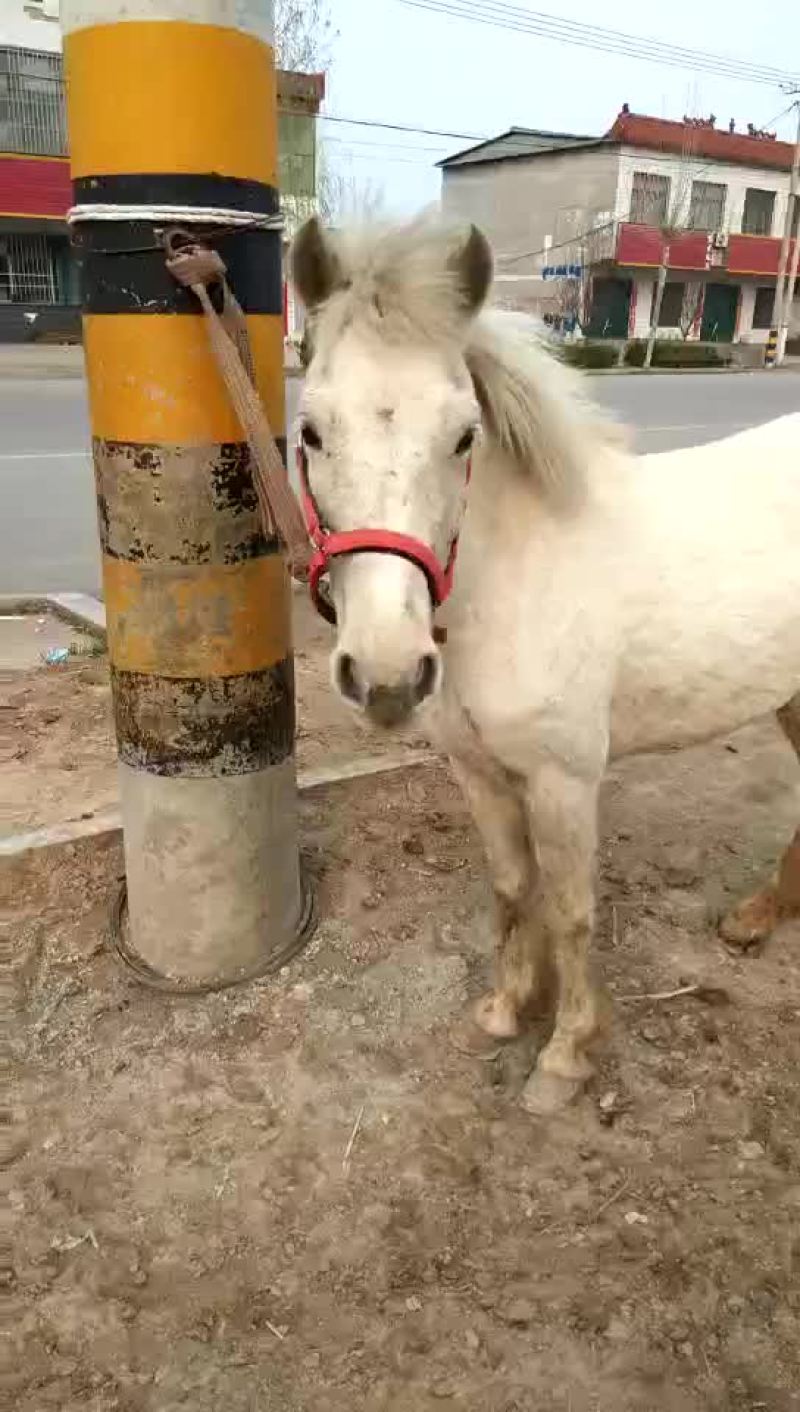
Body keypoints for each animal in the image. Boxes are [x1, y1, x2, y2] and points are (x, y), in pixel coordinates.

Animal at [290, 214, 800, 1115]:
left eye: (463, 436)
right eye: (313, 432)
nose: (388, 675)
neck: (514, 578)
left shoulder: (565, 783)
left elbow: (569, 911)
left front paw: (564, 1056)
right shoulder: (480, 775)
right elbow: (511, 890)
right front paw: (503, 1011)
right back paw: (756, 919)